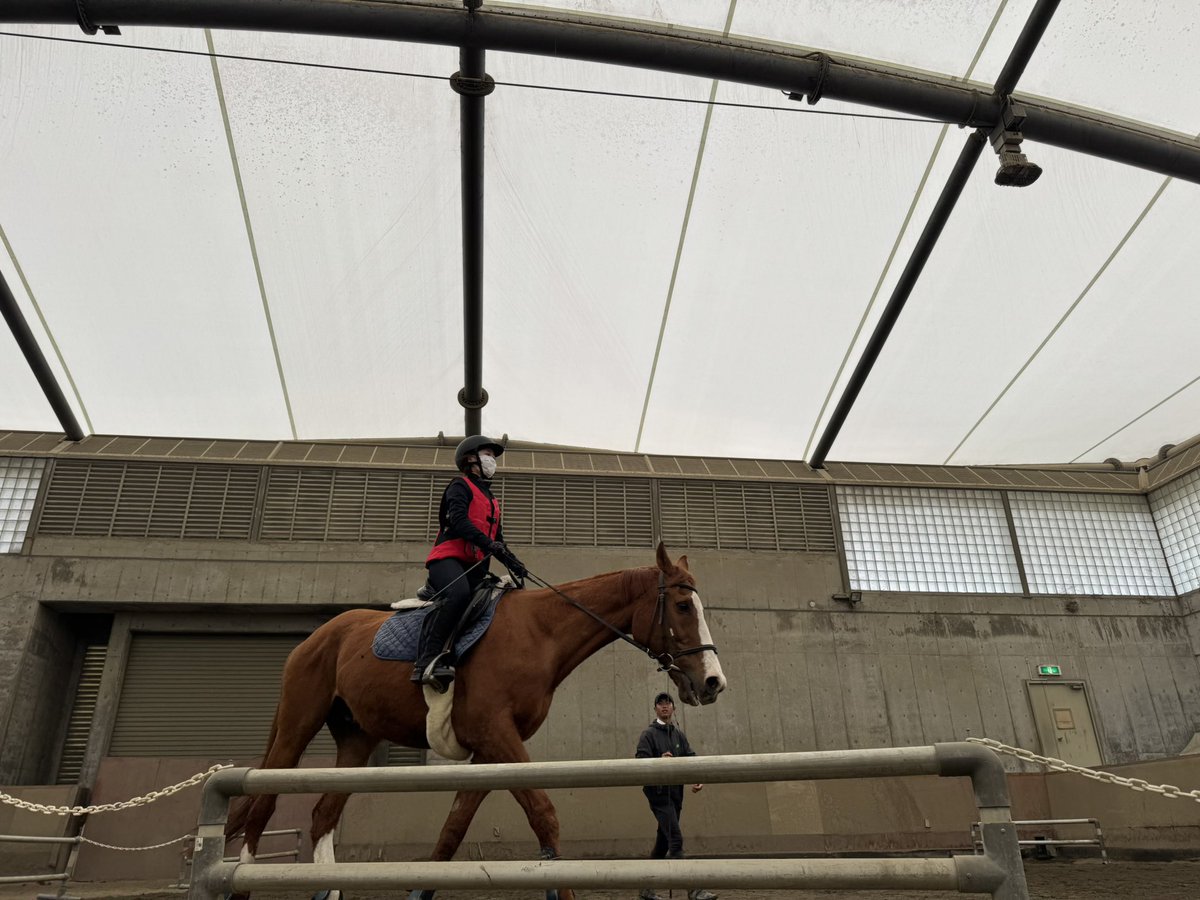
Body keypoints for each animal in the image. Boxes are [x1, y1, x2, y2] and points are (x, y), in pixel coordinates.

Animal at [223, 543, 727, 900]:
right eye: (683, 607)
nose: (713, 682)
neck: (540, 634)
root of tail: (317, 636)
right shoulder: (497, 736)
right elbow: (544, 815)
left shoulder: (488, 751)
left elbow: (452, 833)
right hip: (297, 725)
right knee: (262, 805)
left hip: (356, 740)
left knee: (323, 815)